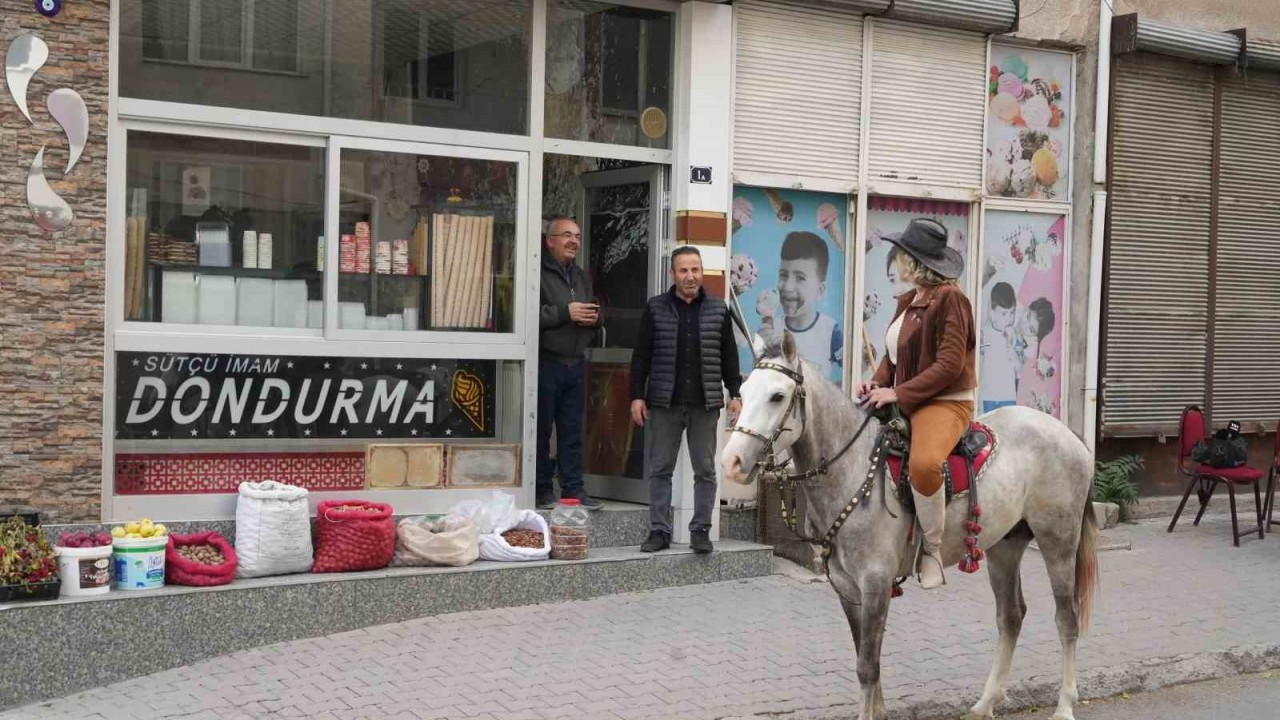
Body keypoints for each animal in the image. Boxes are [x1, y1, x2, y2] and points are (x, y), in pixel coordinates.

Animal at [727, 333, 1095, 717]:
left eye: (777, 396)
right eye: (744, 389)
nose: (732, 462)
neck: (853, 469)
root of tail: (1067, 434)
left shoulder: (875, 582)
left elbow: (867, 666)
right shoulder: (846, 586)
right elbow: (866, 659)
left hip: (1058, 541)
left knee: (1066, 618)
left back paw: (1064, 705)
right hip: (1004, 546)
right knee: (1010, 616)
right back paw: (985, 703)